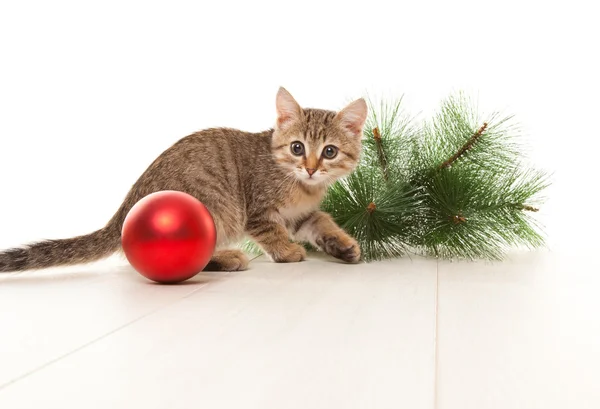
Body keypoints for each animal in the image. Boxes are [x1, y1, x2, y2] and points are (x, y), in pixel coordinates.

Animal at [0, 87, 368, 270]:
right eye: (297, 147)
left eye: (329, 152)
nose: (310, 167)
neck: (302, 186)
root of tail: (123, 212)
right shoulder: (259, 210)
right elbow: (271, 231)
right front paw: (287, 251)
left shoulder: (301, 215)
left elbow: (320, 221)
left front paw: (343, 244)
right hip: (214, 205)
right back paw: (227, 257)